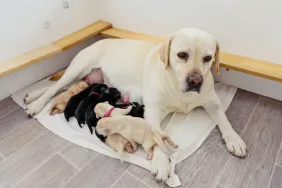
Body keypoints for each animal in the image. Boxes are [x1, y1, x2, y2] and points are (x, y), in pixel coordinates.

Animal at [23, 28, 247, 182]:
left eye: (208, 58)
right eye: (182, 55)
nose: (195, 81)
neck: (176, 85)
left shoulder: (212, 102)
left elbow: (224, 121)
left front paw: (234, 139)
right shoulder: (153, 110)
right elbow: (157, 136)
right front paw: (160, 162)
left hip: (82, 79)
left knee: (60, 88)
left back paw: (32, 95)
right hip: (79, 68)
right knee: (55, 87)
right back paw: (35, 103)